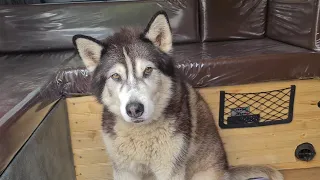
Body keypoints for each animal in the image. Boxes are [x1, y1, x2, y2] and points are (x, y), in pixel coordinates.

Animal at [72, 11, 282, 180]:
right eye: (116, 76)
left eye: (148, 70)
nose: (134, 109)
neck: (141, 135)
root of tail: (226, 171)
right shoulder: (125, 170)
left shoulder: (169, 168)